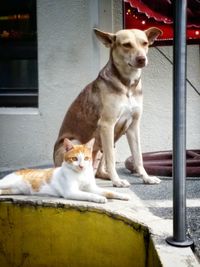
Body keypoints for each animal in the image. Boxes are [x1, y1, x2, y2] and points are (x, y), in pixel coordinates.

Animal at [0, 139, 129, 204]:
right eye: (75, 159)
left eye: (86, 158)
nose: (81, 166)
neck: (81, 175)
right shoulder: (71, 192)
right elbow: (89, 194)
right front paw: (99, 198)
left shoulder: (92, 187)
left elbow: (109, 192)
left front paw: (122, 195)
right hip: (7, 183)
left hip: (14, 190)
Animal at [53, 26, 162, 187]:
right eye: (127, 45)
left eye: (145, 43)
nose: (142, 59)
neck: (127, 85)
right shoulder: (107, 125)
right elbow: (111, 160)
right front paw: (117, 181)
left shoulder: (133, 127)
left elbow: (138, 157)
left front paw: (146, 178)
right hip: (77, 142)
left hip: (108, 142)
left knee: (97, 170)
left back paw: (103, 175)